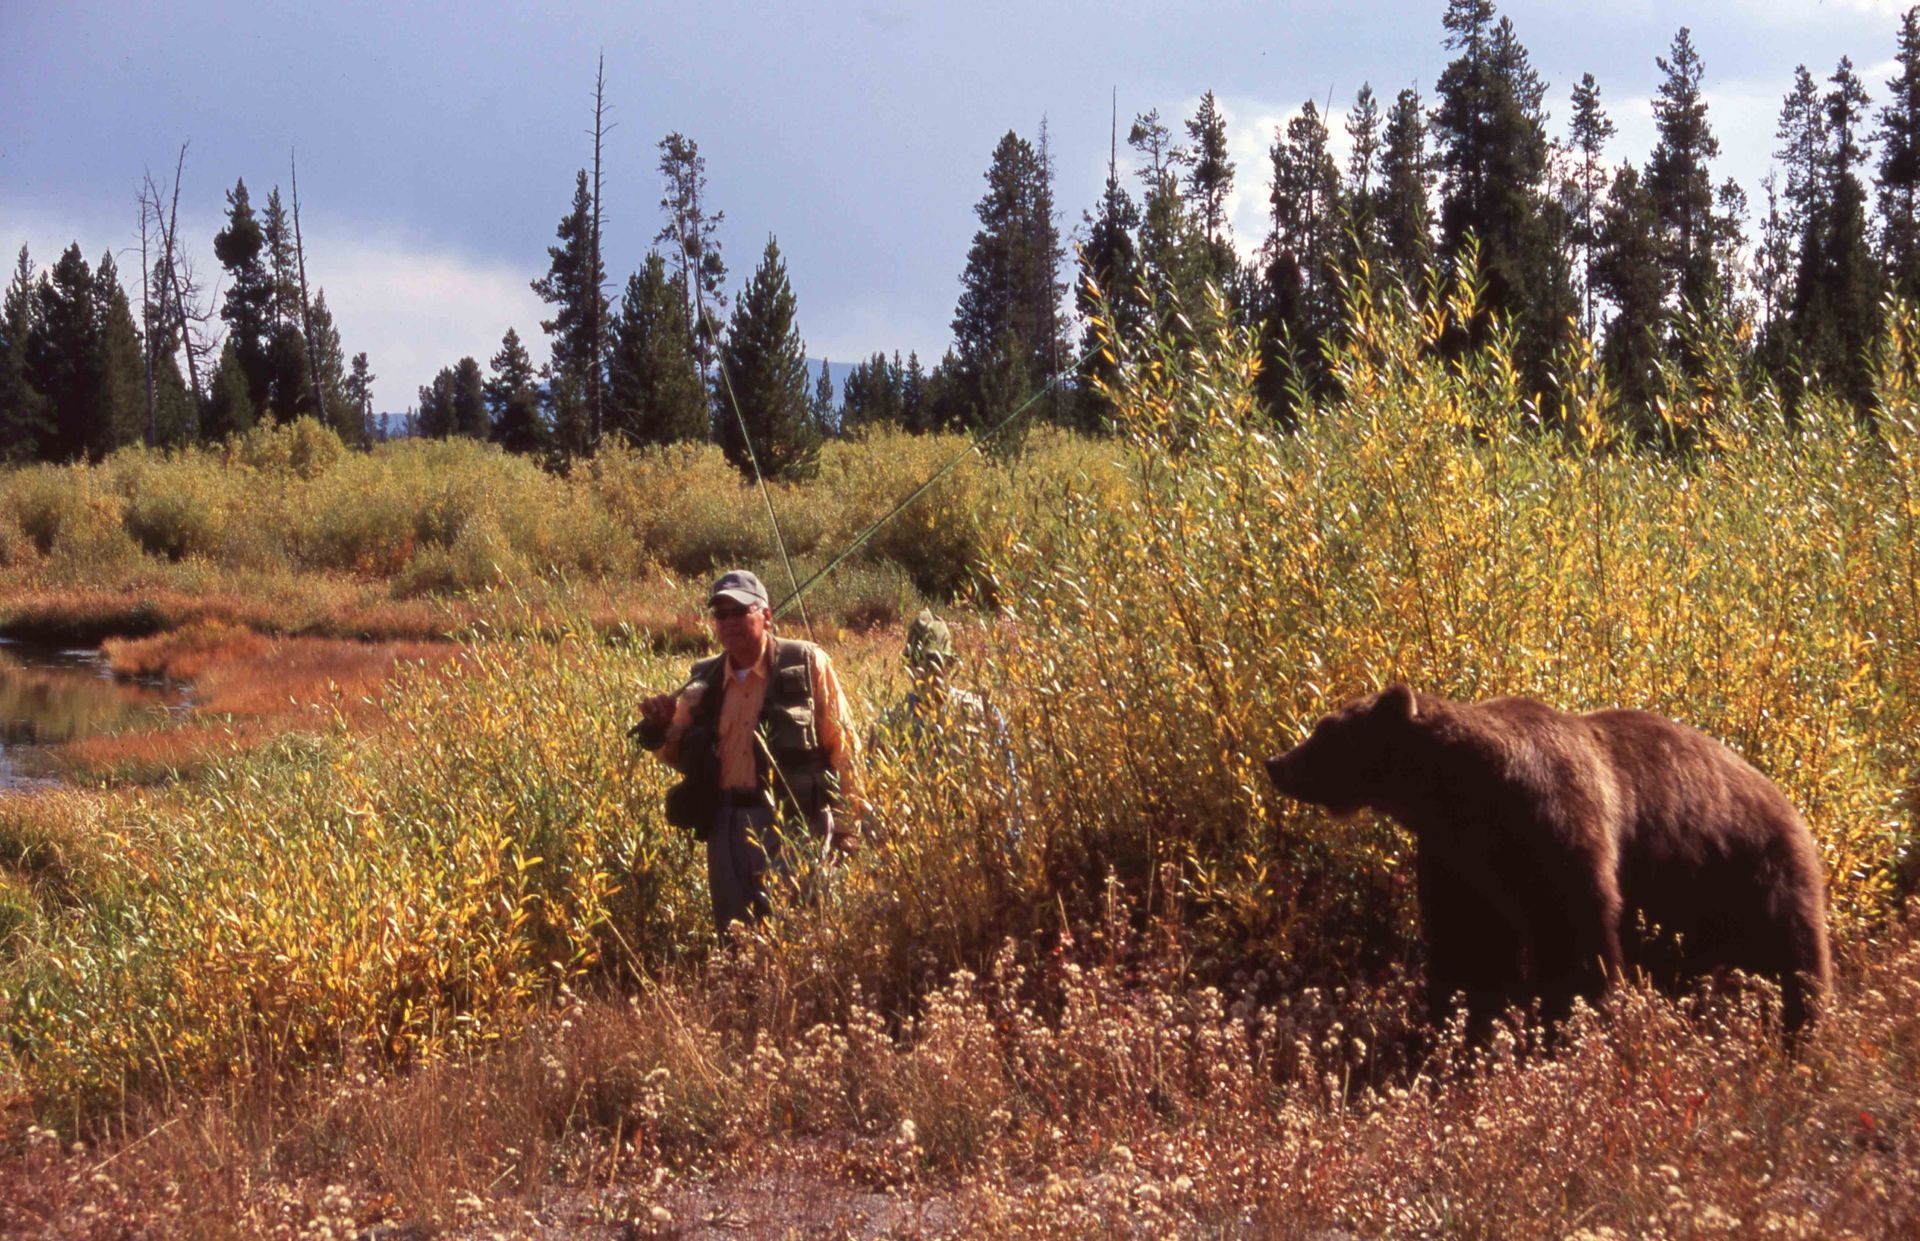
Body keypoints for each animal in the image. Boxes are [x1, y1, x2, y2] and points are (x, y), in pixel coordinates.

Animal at [1264, 686, 1832, 1037]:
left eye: (1325, 731)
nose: (1276, 763)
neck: (1463, 793)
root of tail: (1792, 807)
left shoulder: (1556, 826)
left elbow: (1575, 932)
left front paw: (1569, 1019)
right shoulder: (1457, 858)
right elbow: (1468, 941)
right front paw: (1461, 1023)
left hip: (1755, 872)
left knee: (1793, 958)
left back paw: (1801, 1029)